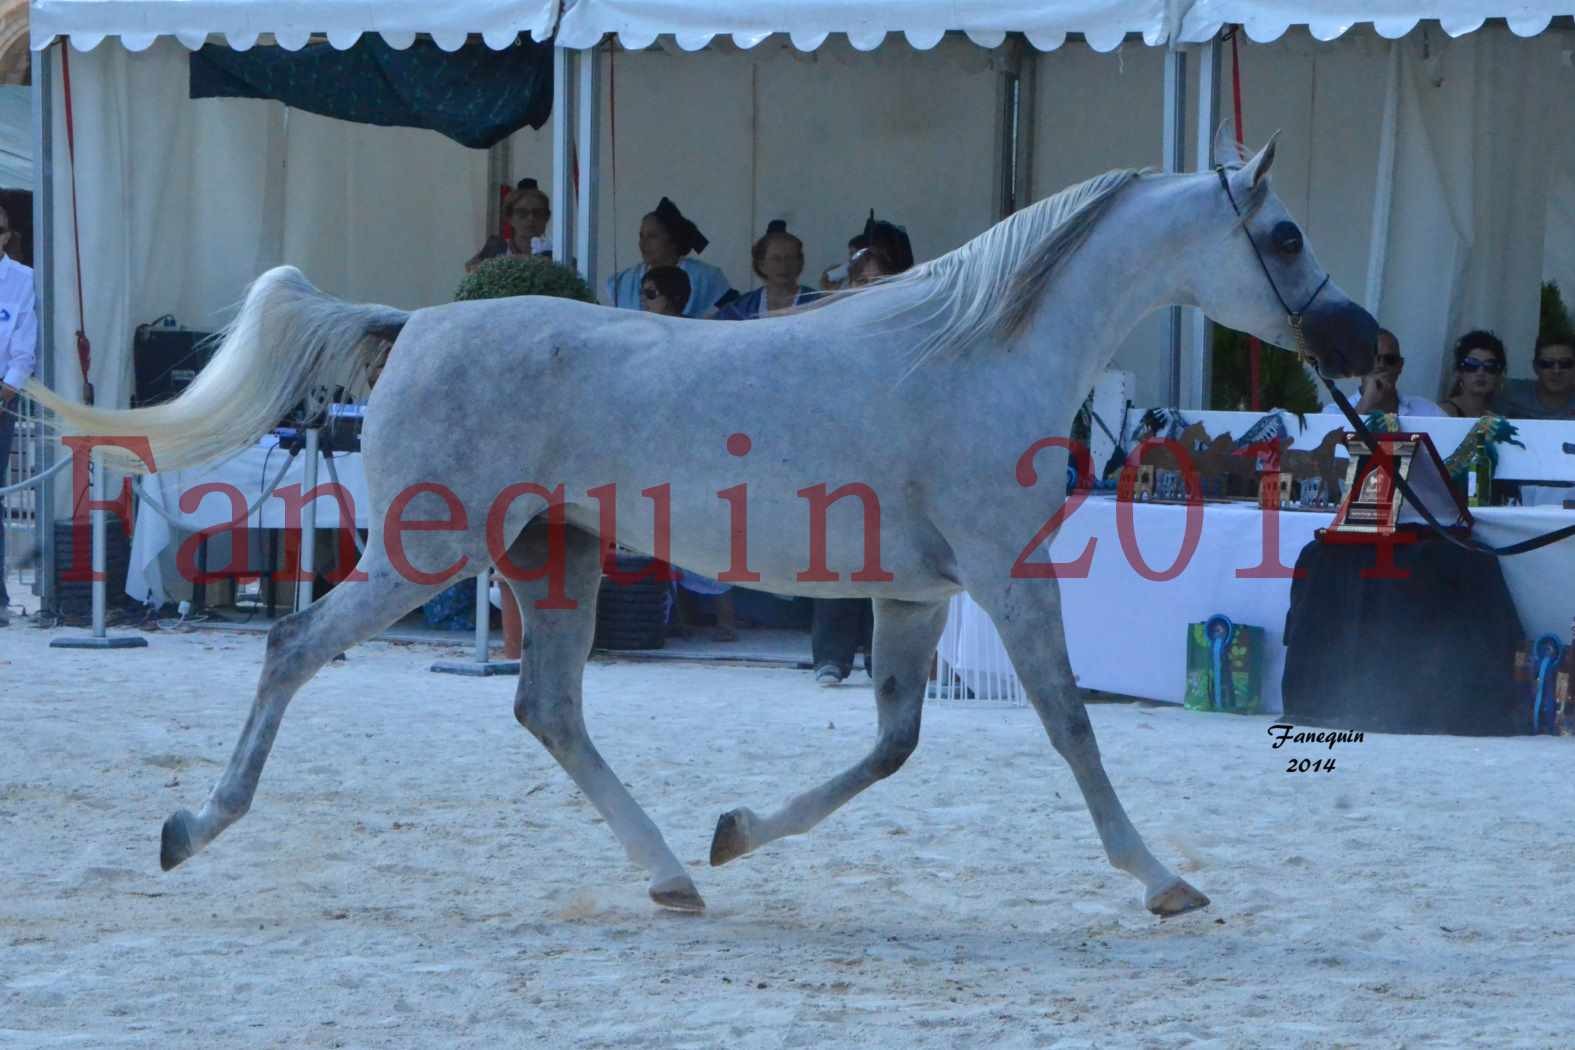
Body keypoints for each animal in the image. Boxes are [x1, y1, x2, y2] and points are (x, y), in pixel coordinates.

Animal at [30, 141, 1373, 919]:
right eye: (1286, 234)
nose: (1363, 341)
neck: (977, 351)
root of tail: (413, 323)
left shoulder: (916, 596)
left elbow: (891, 747)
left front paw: (738, 835)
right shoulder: (1008, 575)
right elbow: (1070, 727)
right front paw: (1164, 880)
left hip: (554, 559)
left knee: (549, 709)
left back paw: (676, 872)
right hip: (427, 552)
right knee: (295, 647)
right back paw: (191, 830)